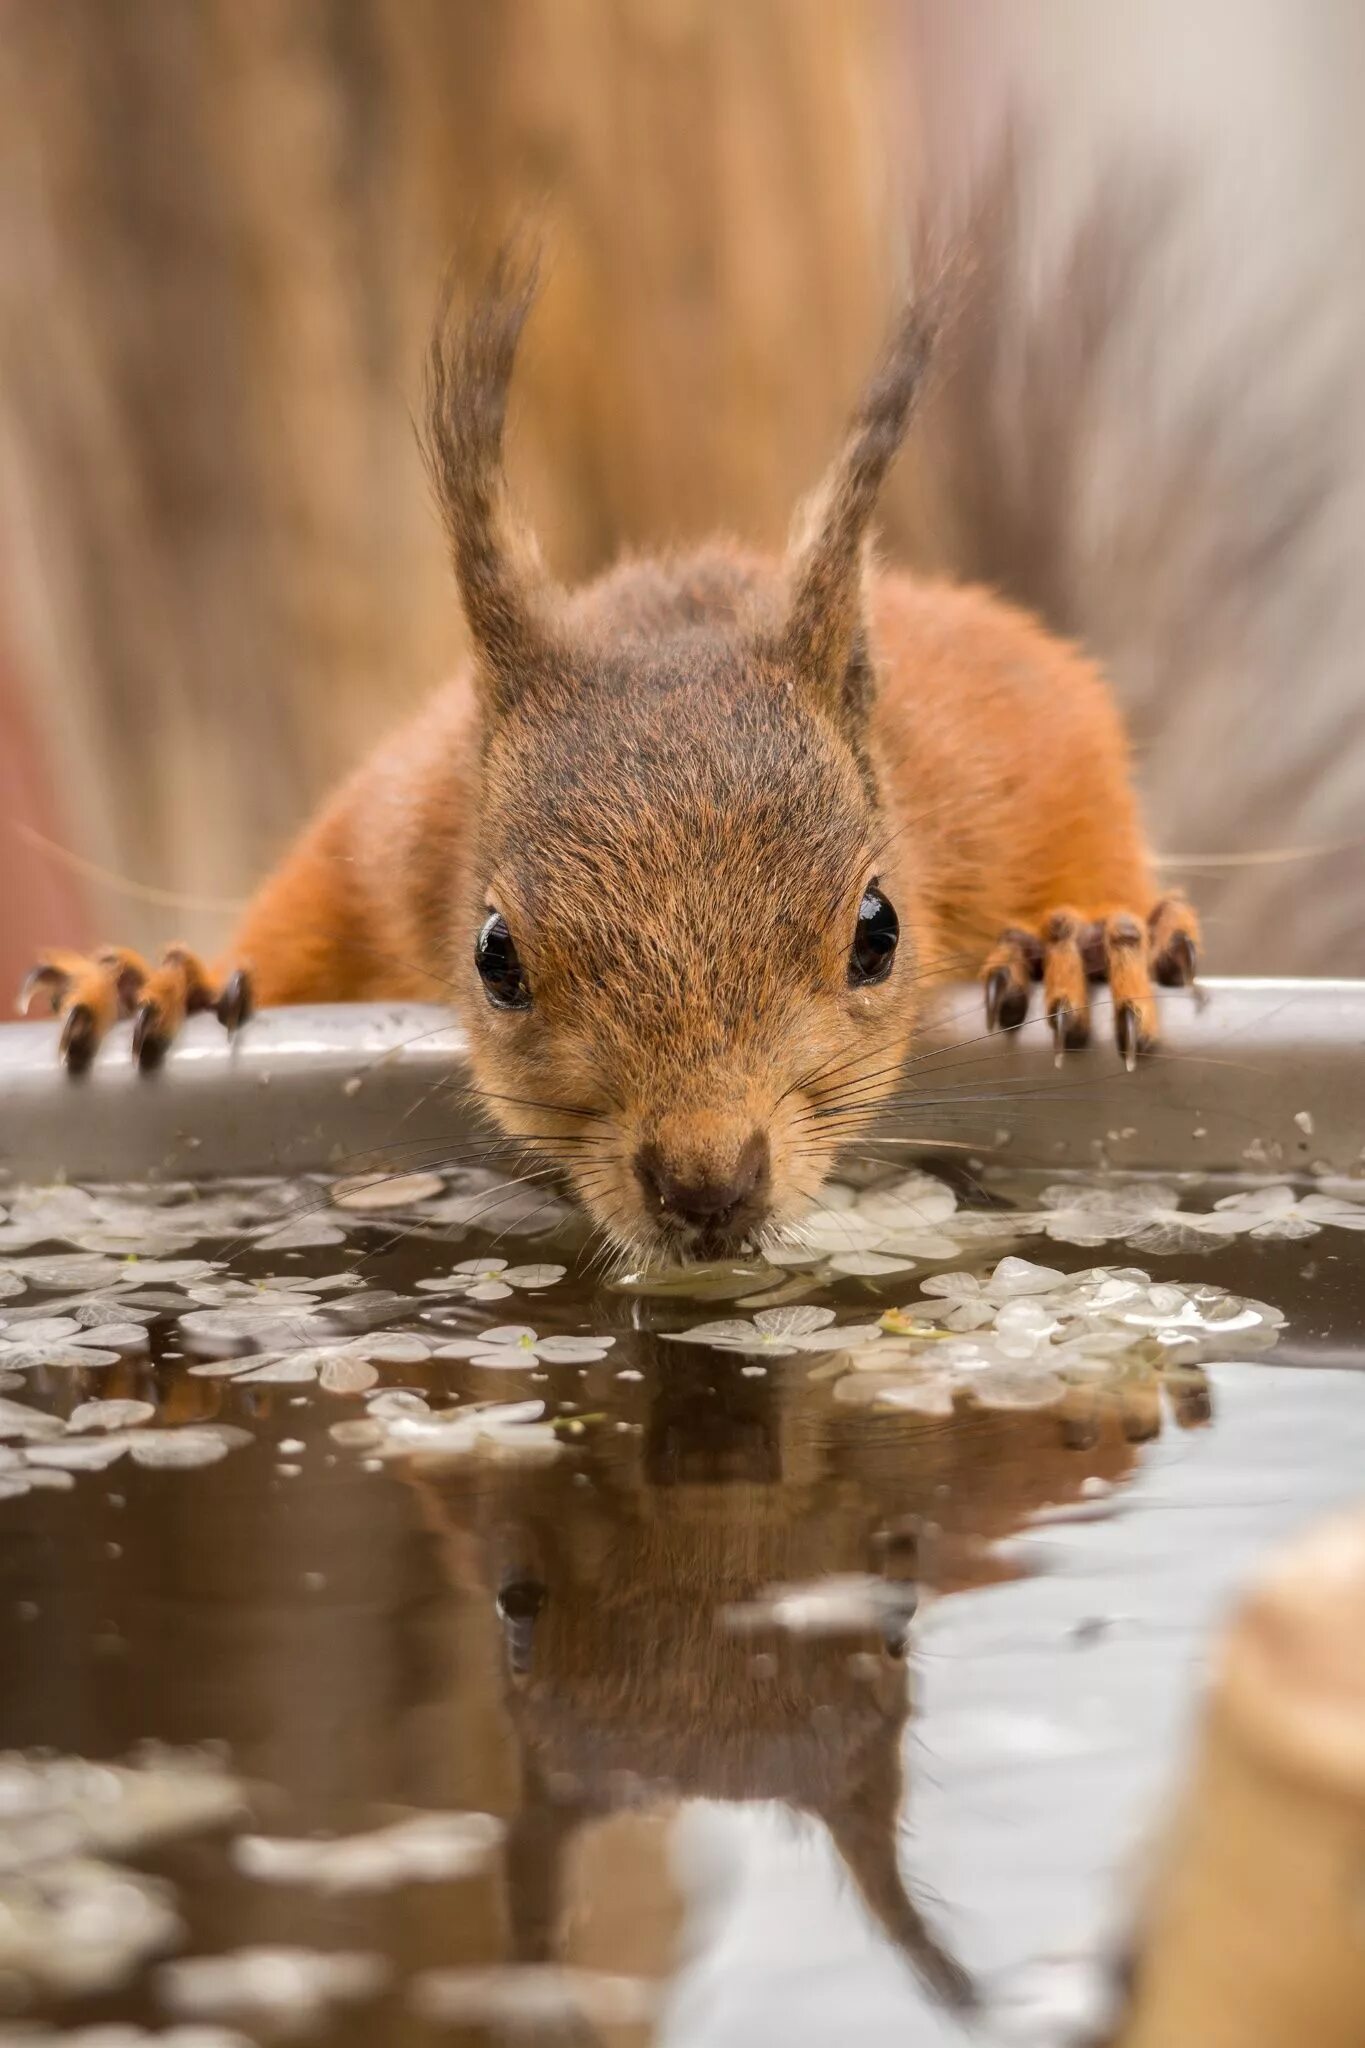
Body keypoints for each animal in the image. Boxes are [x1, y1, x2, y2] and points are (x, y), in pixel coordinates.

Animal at [21, 245, 1195, 1253]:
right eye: (494, 957)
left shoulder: (1023, 744)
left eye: (879, 932)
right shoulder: (383, 836)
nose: (707, 1184)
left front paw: (1086, 941)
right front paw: (156, 982)